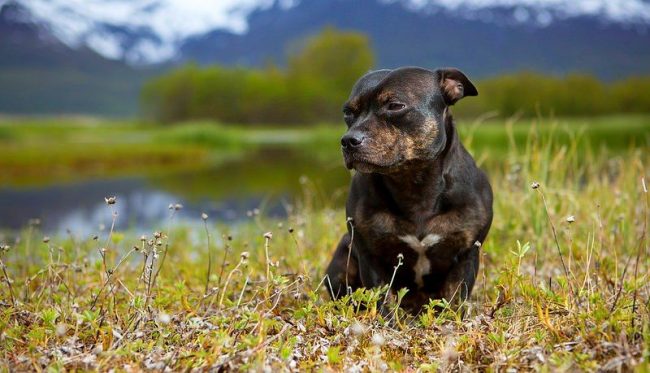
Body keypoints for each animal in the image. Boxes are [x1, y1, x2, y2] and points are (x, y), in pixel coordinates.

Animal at [324, 66, 492, 310]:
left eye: (394, 106)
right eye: (348, 112)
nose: (348, 140)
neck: (413, 181)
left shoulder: (466, 255)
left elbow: (454, 300)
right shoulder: (370, 256)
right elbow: (382, 300)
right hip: (339, 264)